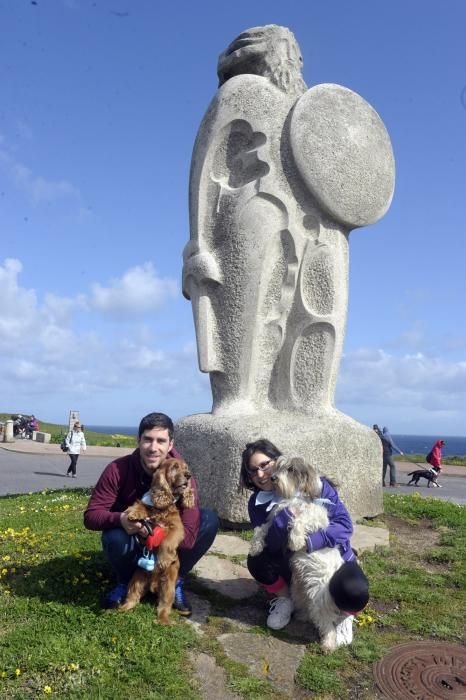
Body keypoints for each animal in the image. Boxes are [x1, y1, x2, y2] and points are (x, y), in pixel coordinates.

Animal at [251, 456, 354, 652]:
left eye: (291, 469)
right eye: (277, 467)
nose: (273, 478)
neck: (293, 497)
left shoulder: (315, 515)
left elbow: (300, 520)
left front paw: (296, 541)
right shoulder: (275, 519)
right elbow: (263, 528)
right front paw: (255, 545)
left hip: (319, 599)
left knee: (328, 624)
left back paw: (328, 644)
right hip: (300, 594)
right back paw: (302, 617)